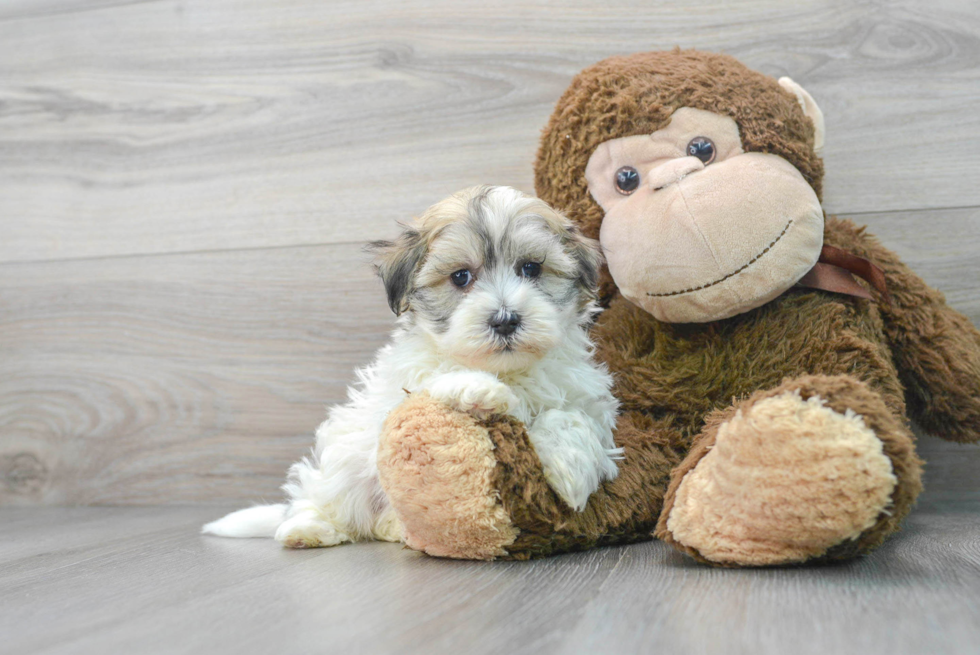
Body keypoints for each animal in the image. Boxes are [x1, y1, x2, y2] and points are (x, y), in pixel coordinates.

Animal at [203, 186, 624, 548]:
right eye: (461, 276)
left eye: (531, 269)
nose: (505, 319)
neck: (508, 369)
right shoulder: (407, 381)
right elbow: (438, 378)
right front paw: (480, 388)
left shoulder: (587, 397)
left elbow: (572, 417)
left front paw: (567, 471)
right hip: (345, 458)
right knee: (325, 495)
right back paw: (308, 527)